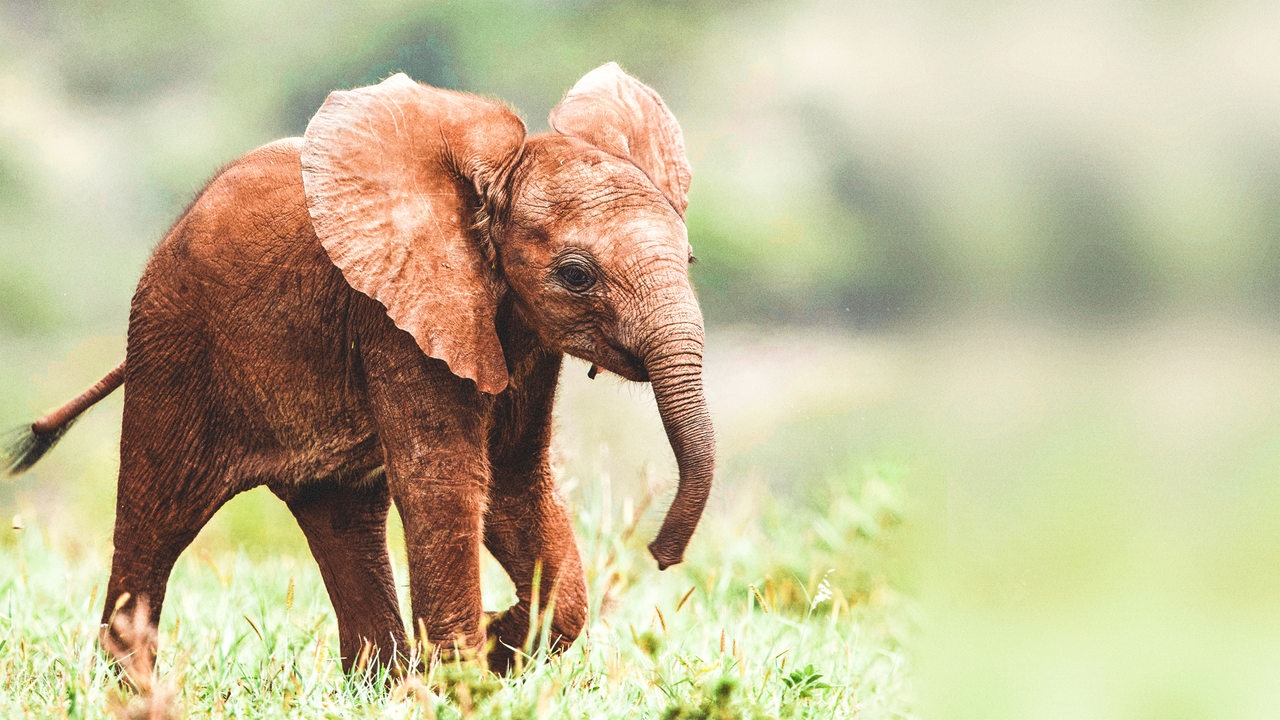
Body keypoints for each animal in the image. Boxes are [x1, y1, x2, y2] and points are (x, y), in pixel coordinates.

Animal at [5, 63, 716, 671]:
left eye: (689, 261)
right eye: (575, 275)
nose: (659, 556)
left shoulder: (520, 337)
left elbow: (515, 481)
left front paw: (492, 644)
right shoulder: (395, 319)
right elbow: (444, 481)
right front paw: (468, 673)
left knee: (342, 518)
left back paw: (383, 683)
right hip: (174, 345)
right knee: (156, 518)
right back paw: (135, 688)